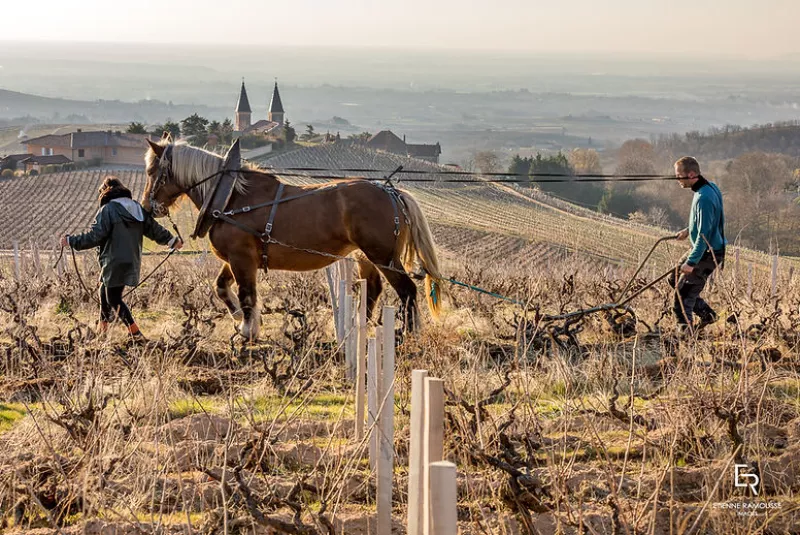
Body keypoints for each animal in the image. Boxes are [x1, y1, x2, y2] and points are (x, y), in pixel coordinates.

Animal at [144, 138, 444, 340]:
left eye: (151, 172)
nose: (148, 207)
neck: (230, 198)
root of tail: (392, 193)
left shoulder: (241, 258)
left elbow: (247, 294)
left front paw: (248, 331)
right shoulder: (235, 259)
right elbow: (222, 288)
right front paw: (241, 319)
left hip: (384, 256)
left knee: (407, 291)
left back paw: (405, 334)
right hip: (365, 256)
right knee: (373, 289)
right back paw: (358, 327)